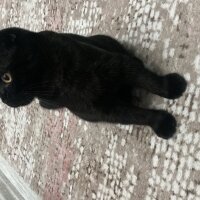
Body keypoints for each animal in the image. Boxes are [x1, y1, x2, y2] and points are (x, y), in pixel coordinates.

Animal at [0, 27, 188, 138]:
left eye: (6, 77)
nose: (6, 99)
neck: (55, 78)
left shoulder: (118, 64)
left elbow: (148, 80)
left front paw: (174, 86)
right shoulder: (102, 111)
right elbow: (136, 115)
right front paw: (163, 123)